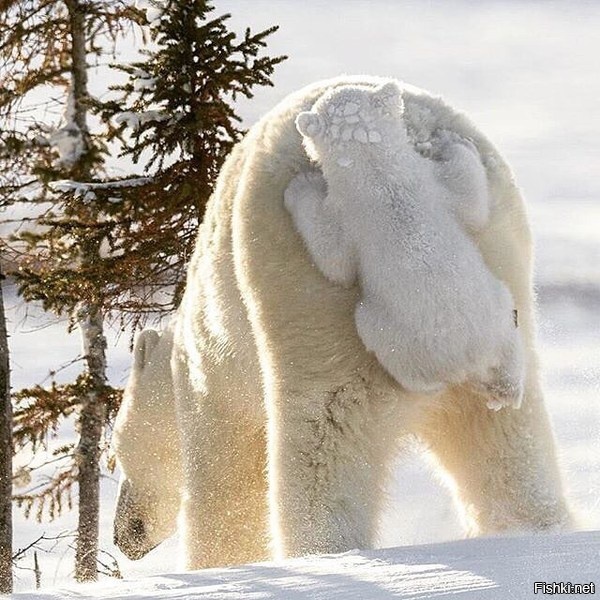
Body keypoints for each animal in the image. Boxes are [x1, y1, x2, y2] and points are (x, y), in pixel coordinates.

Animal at [112, 75, 572, 568]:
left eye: (114, 453)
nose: (124, 536)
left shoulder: (213, 378)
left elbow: (227, 484)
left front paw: (220, 563)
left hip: (305, 299)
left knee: (323, 439)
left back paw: (322, 552)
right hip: (501, 264)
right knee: (507, 441)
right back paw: (533, 529)